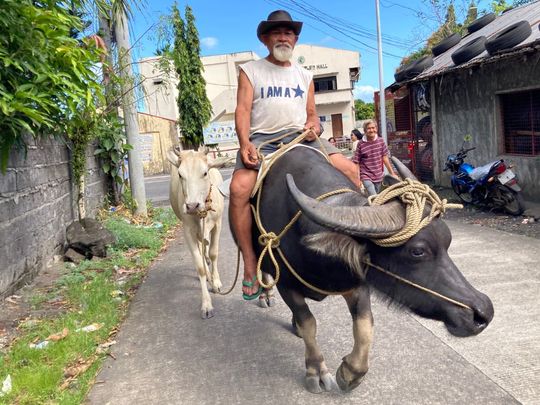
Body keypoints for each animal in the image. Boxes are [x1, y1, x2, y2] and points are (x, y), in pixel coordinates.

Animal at [168, 147, 225, 318]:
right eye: (180, 174)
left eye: (205, 173)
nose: (192, 206)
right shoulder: (188, 231)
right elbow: (199, 265)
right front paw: (206, 305)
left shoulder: (218, 224)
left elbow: (213, 253)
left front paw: (216, 282)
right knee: (201, 250)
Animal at [239, 144, 494, 392]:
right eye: (417, 251)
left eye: (448, 240)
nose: (484, 312)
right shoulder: (286, 285)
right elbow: (309, 322)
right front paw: (316, 371)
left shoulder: (359, 281)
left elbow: (365, 324)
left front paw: (351, 372)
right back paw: (264, 294)